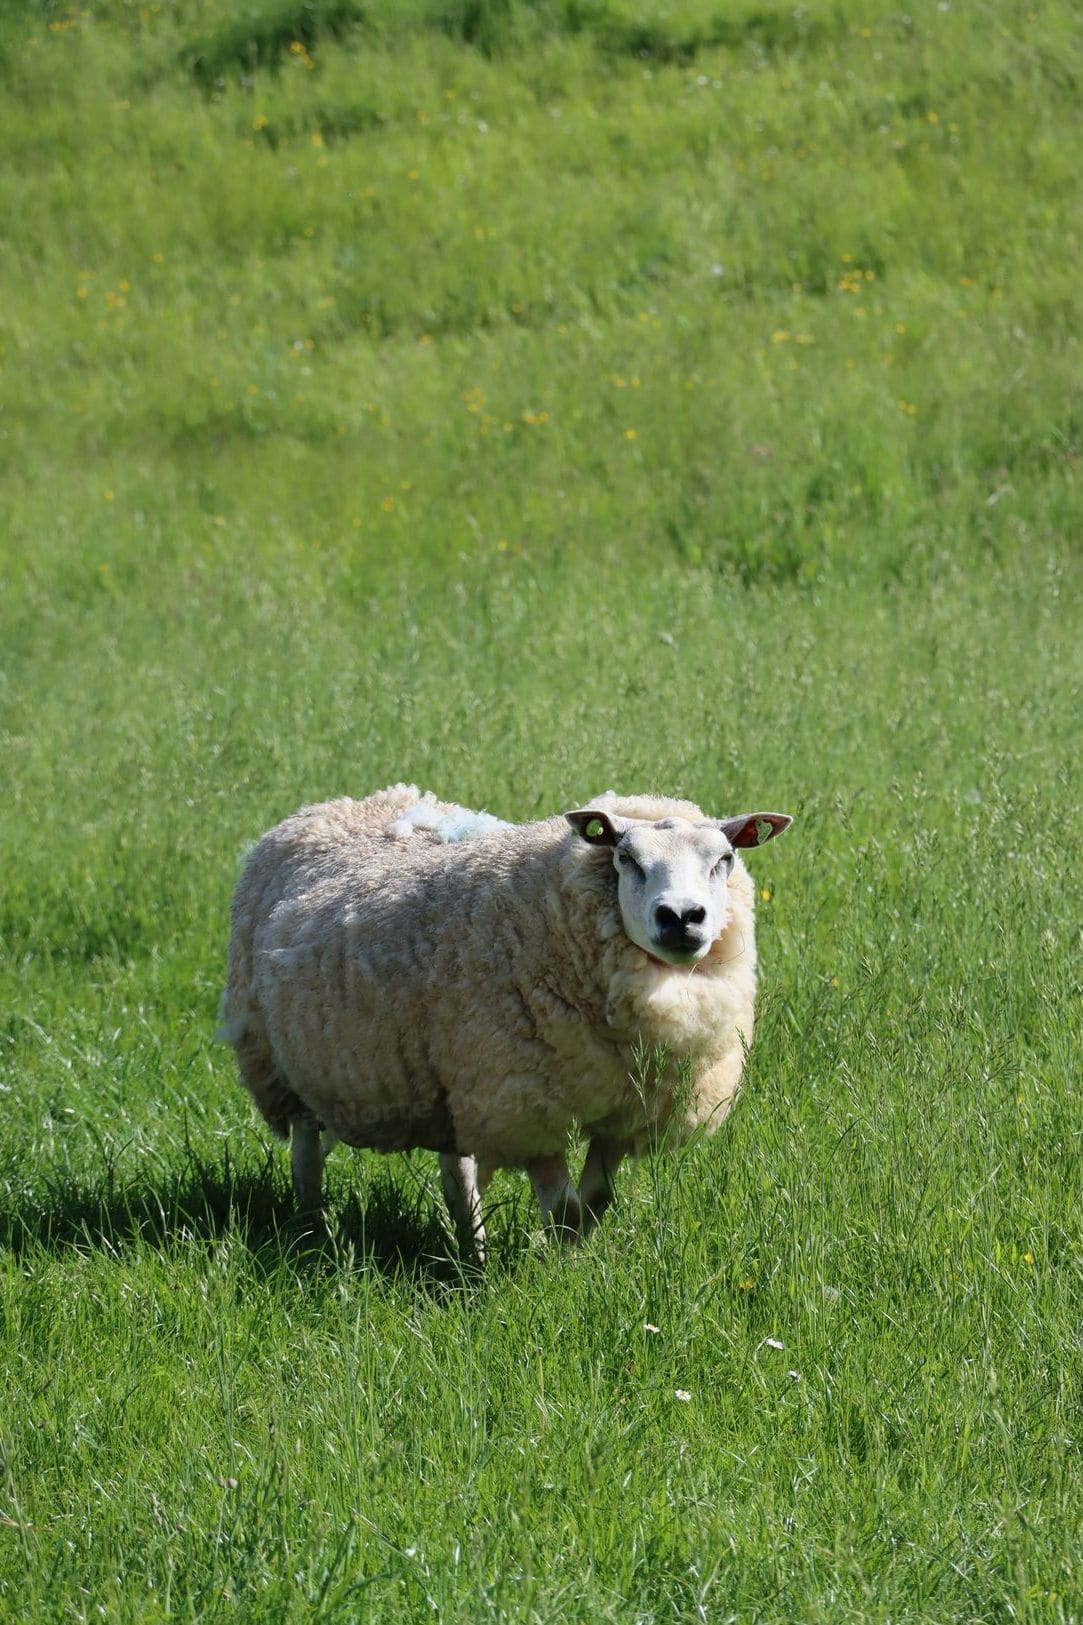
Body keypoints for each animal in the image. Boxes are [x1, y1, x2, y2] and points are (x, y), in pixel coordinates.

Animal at [219, 784, 791, 1260]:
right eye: (626, 858)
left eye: (724, 859)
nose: (681, 917)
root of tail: (331, 807)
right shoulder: (526, 1106)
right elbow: (562, 1207)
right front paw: (560, 1275)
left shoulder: (624, 1111)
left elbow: (595, 1200)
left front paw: (576, 1262)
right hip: (286, 1064)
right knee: (306, 1153)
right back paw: (313, 1230)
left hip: (445, 1081)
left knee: (458, 1174)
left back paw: (472, 1254)